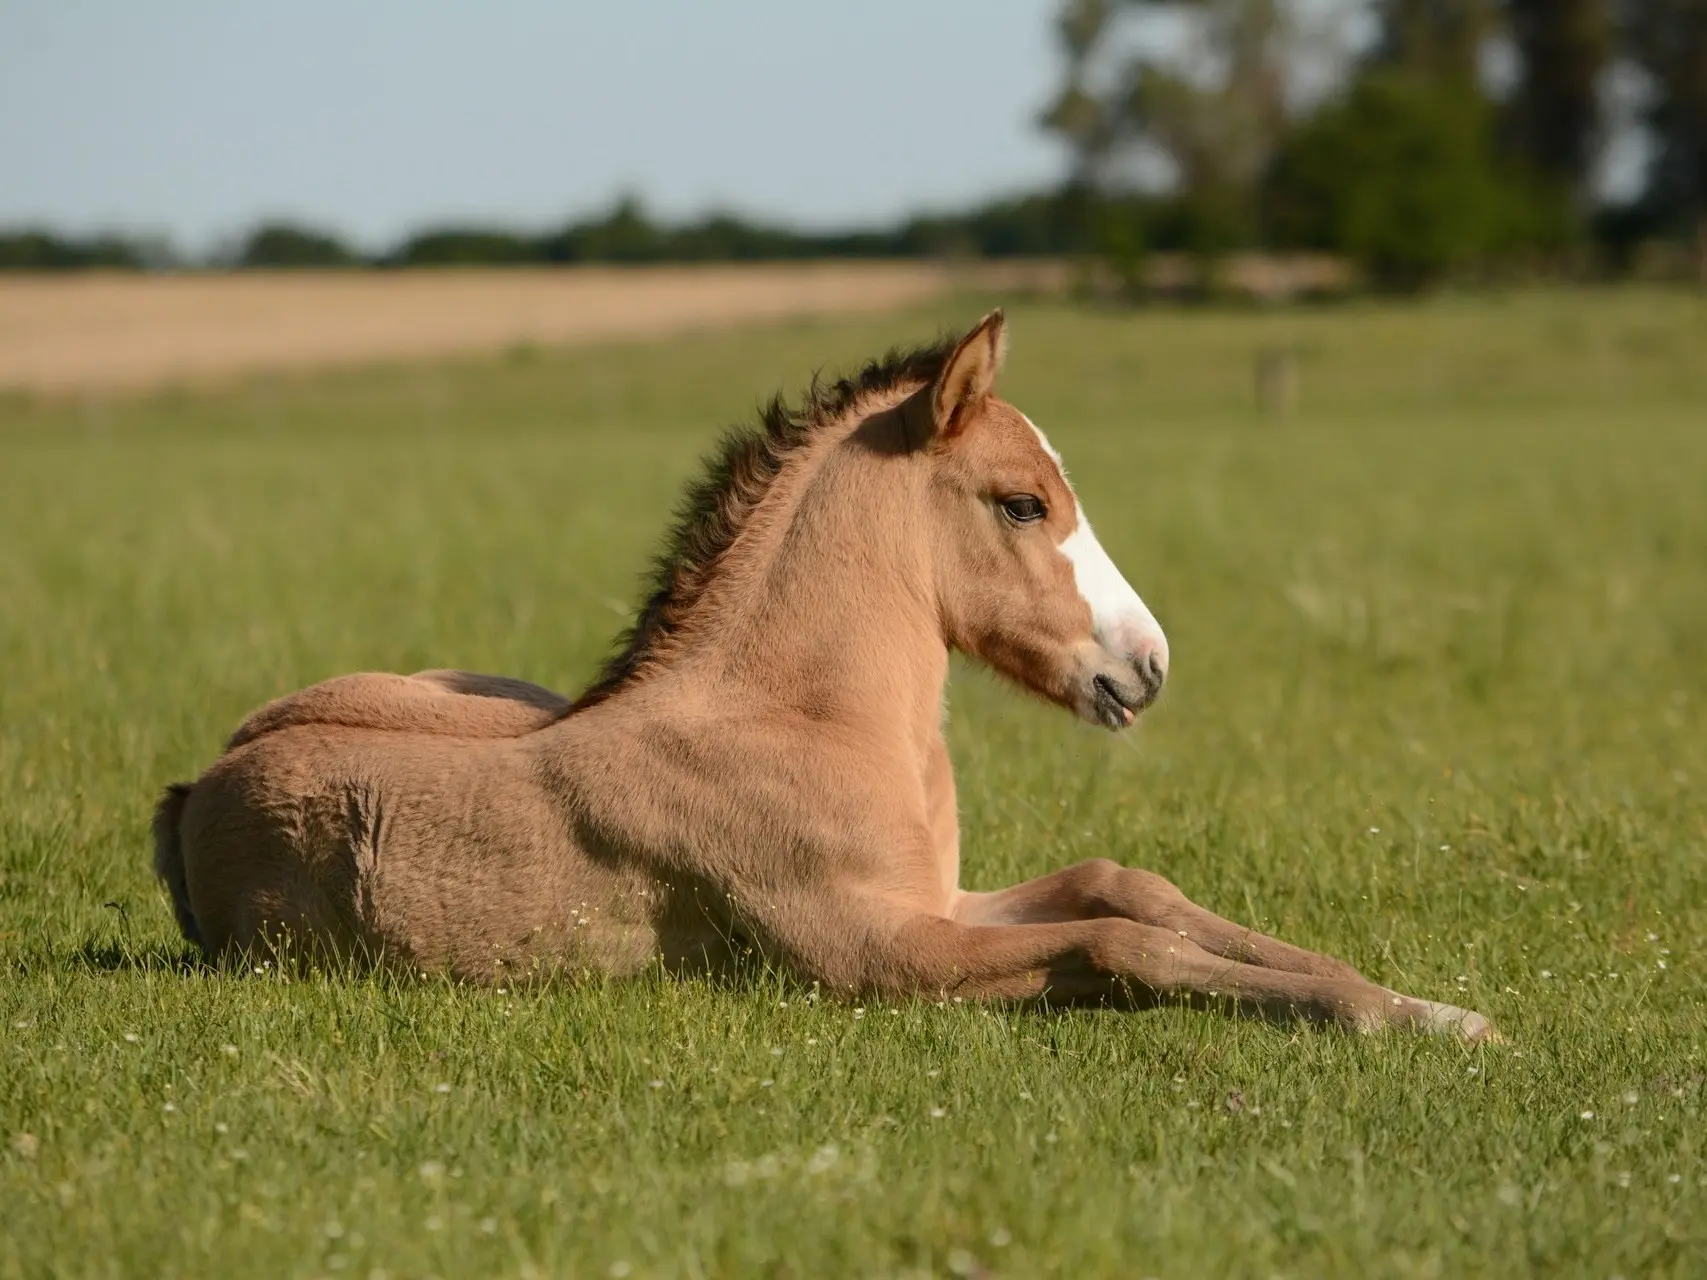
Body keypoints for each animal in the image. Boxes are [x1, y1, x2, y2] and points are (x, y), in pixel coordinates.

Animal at [153, 310, 1502, 1044]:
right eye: (1022, 501)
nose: (1148, 664)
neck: (802, 721)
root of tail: (194, 785)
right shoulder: (876, 953)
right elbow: (1125, 943)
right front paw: (1406, 1017)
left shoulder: (941, 901)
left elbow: (1128, 885)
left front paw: (1412, 997)